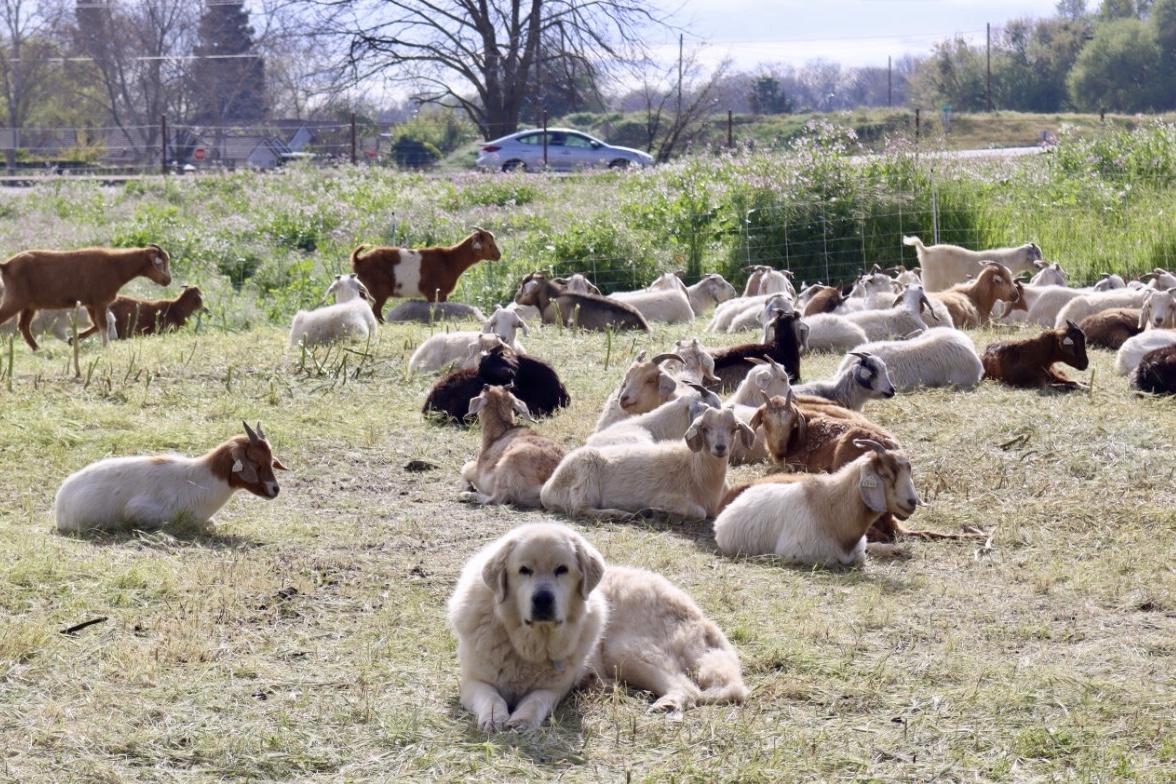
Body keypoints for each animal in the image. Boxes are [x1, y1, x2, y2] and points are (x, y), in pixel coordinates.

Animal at [0, 245, 171, 350]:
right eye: (159, 262)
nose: (168, 280)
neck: (115, 266)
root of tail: (6, 265)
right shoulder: (100, 302)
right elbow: (102, 324)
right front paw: (106, 346)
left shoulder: (90, 304)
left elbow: (96, 324)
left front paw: (73, 339)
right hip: (16, 299)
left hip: (29, 305)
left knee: (23, 326)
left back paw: (37, 349)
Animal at [345, 228, 498, 319]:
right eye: (489, 244)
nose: (498, 255)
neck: (449, 259)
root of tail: (358, 260)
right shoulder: (433, 292)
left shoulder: (443, 294)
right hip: (378, 290)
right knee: (376, 310)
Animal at [449, 524, 743, 733]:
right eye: (524, 570)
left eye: (562, 569)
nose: (543, 599)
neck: (529, 643)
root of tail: (699, 614)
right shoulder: (474, 682)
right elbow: (491, 698)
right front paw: (494, 718)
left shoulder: (554, 689)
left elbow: (535, 701)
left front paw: (522, 720)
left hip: (624, 650)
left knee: (689, 689)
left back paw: (668, 703)